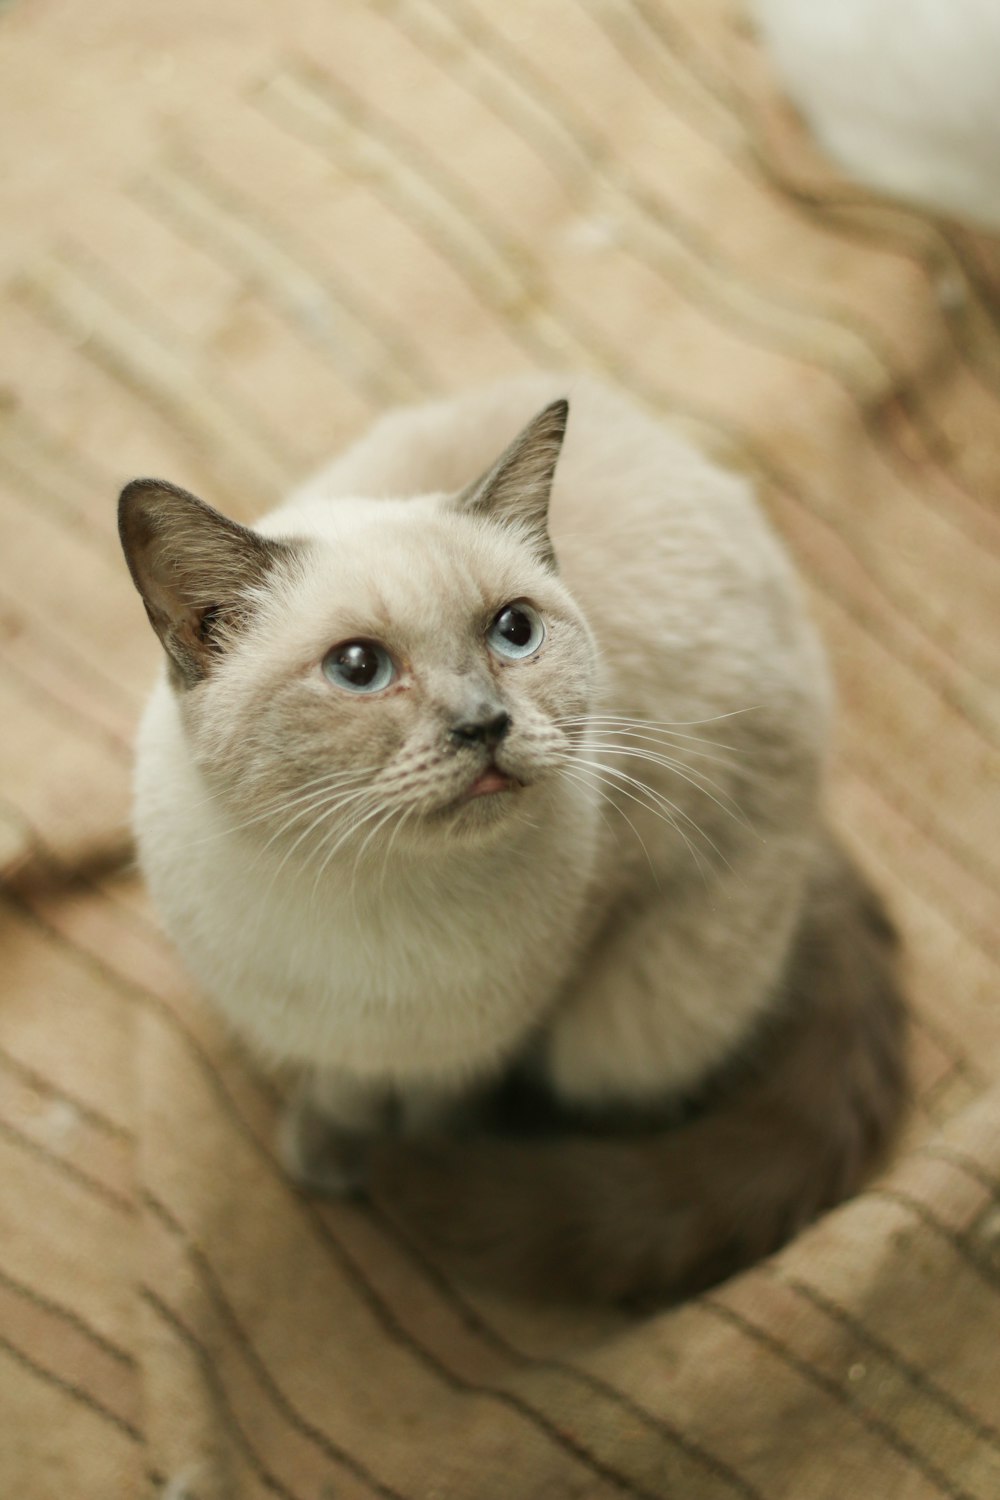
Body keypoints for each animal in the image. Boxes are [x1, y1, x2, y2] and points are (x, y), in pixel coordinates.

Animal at [119, 375, 905, 1302]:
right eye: (358, 669)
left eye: (513, 632)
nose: (485, 723)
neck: (370, 894)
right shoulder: (324, 1029)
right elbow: (343, 1087)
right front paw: (331, 1147)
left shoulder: (497, 1029)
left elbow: (438, 1104)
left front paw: (412, 1157)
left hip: (635, 1014)